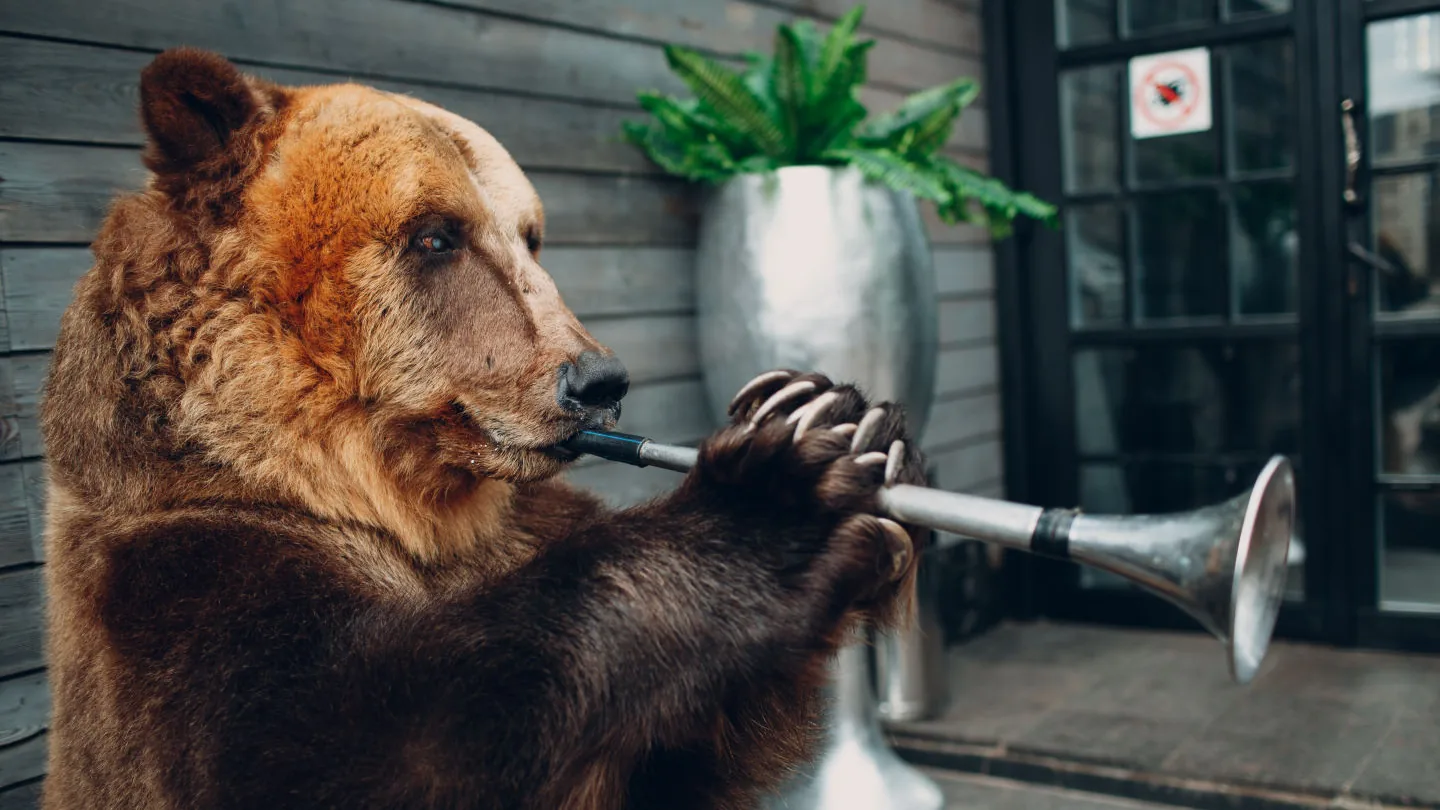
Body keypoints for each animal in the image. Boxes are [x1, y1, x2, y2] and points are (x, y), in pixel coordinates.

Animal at [38, 47, 927, 810]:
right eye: (436, 234)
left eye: (530, 236)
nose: (597, 380)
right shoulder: (173, 579)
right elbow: (373, 733)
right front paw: (778, 501)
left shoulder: (523, 520)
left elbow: (680, 758)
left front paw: (841, 409)